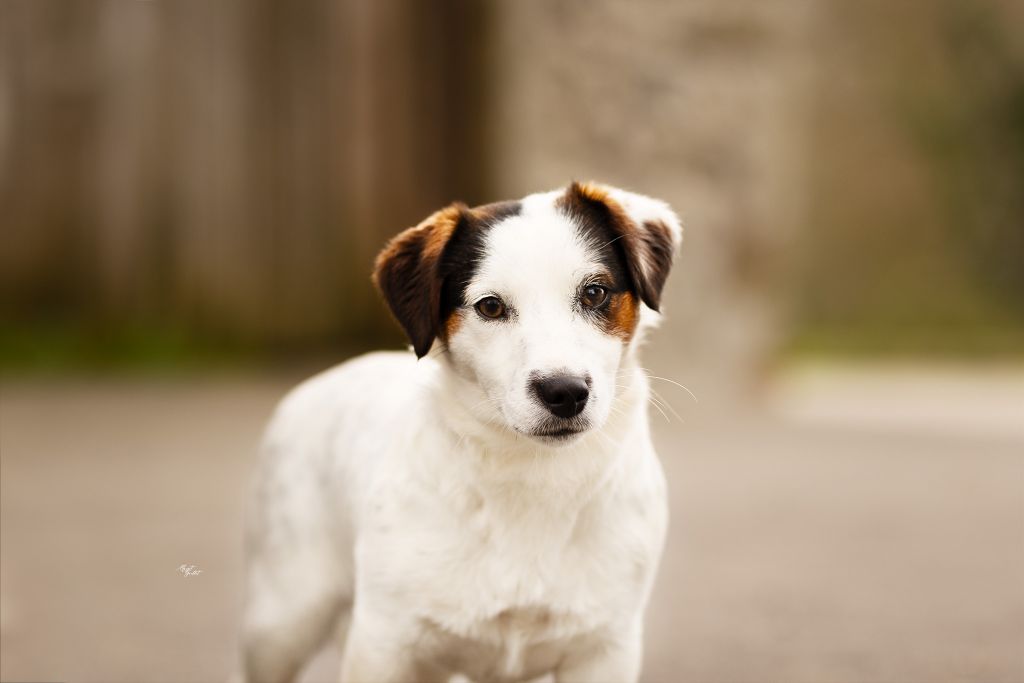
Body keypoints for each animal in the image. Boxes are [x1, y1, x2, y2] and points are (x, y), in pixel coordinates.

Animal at [243, 183, 684, 683]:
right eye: (490, 306)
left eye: (594, 292)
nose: (565, 392)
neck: (530, 479)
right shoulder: (384, 644)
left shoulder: (605, 646)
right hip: (281, 620)